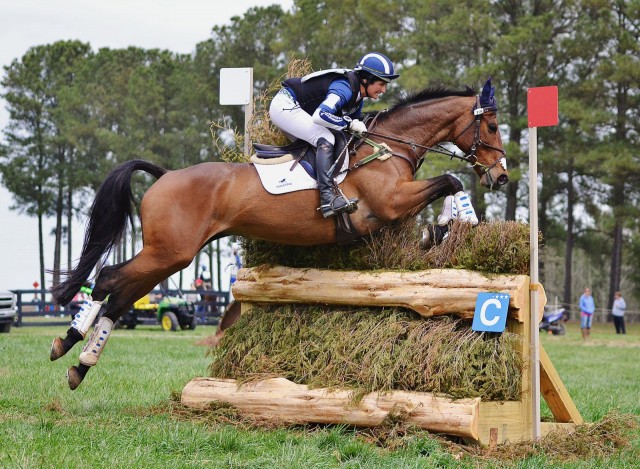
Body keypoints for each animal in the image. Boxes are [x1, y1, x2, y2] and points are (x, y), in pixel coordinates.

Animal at [50, 78, 510, 390]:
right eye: (491, 127)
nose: (502, 177)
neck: (388, 145)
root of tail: (165, 175)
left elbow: (443, 193)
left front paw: (439, 230)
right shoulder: (389, 203)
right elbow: (450, 180)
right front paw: (445, 227)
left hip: (170, 255)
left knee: (121, 296)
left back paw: (79, 364)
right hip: (170, 252)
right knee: (108, 279)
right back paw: (67, 343)